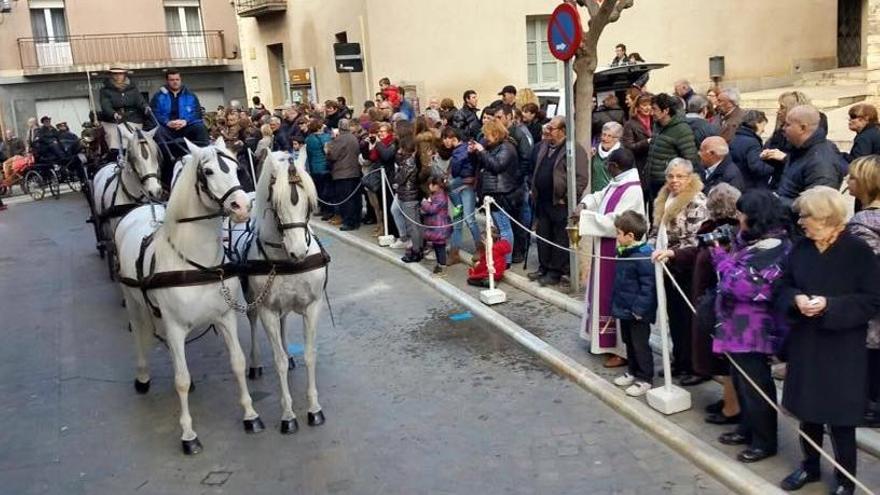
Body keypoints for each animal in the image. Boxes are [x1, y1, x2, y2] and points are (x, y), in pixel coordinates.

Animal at [115, 138, 258, 456]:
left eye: (236, 167)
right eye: (209, 171)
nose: (242, 206)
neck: (195, 262)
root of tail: (139, 210)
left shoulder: (225, 317)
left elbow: (238, 363)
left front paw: (250, 415)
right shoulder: (176, 326)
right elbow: (181, 379)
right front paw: (189, 434)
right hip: (134, 304)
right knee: (140, 336)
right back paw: (142, 376)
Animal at [235, 152, 328, 434]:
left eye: (308, 202)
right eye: (277, 202)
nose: (298, 251)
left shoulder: (313, 306)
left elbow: (310, 355)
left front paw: (314, 409)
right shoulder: (267, 310)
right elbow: (278, 363)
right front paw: (288, 415)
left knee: (285, 321)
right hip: (253, 301)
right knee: (253, 322)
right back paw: (255, 364)